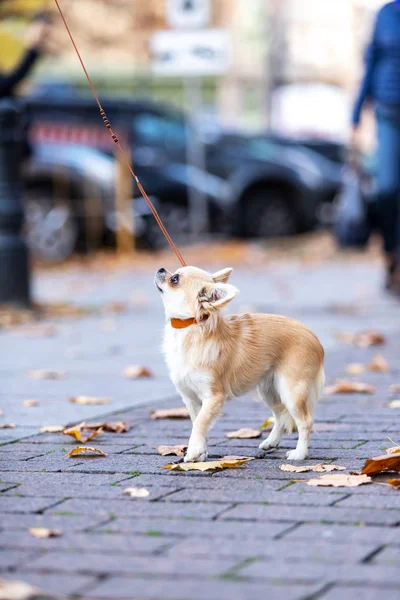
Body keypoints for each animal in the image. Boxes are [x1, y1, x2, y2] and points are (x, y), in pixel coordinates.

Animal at [154, 266, 324, 464]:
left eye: (174, 279)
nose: (161, 269)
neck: (189, 329)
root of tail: (315, 338)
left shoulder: (213, 397)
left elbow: (200, 423)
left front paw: (194, 451)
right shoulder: (190, 398)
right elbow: (198, 423)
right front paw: (201, 452)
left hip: (291, 391)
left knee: (305, 422)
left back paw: (299, 453)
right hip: (269, 391)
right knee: (280, 414)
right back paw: (272, 442)